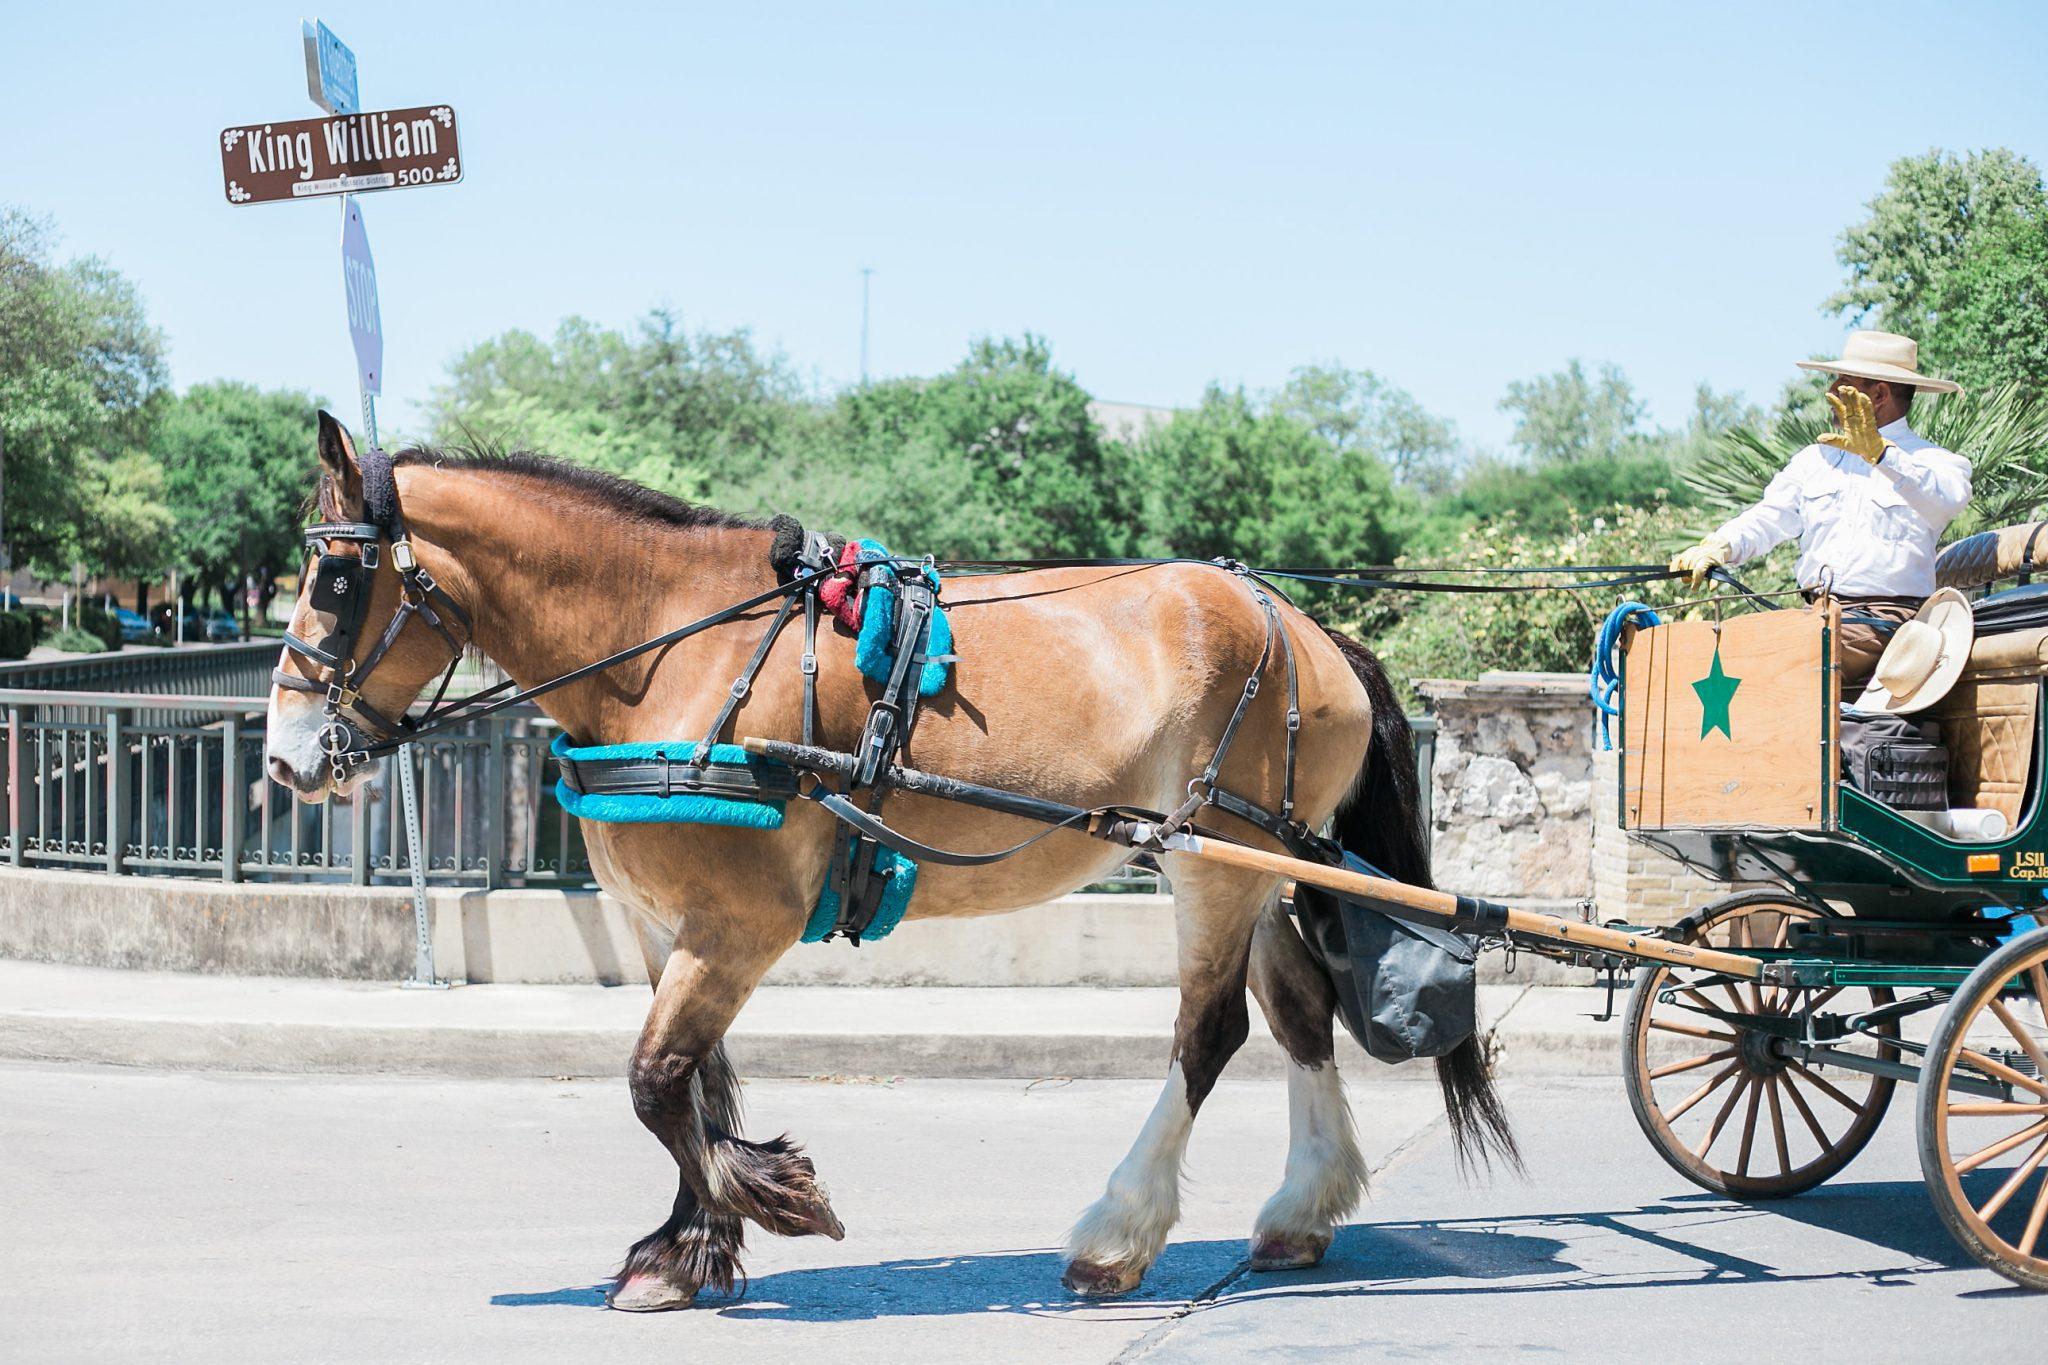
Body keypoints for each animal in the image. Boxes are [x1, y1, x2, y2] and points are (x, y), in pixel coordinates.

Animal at [264, 413, 1515, 1309]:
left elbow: (658, 1082)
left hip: (1219, 862)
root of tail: (1305, 627)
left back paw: (1116, 1234)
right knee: (1300, 1010)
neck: (675, 648)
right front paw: (690, 1245)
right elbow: (693, 1087)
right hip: (1235, 863)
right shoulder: (673, 925)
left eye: (336, 581)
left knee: (1207, 1035)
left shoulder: (739, 927)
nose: (283, 759)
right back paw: (1302, 1210)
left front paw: (767, 1205)